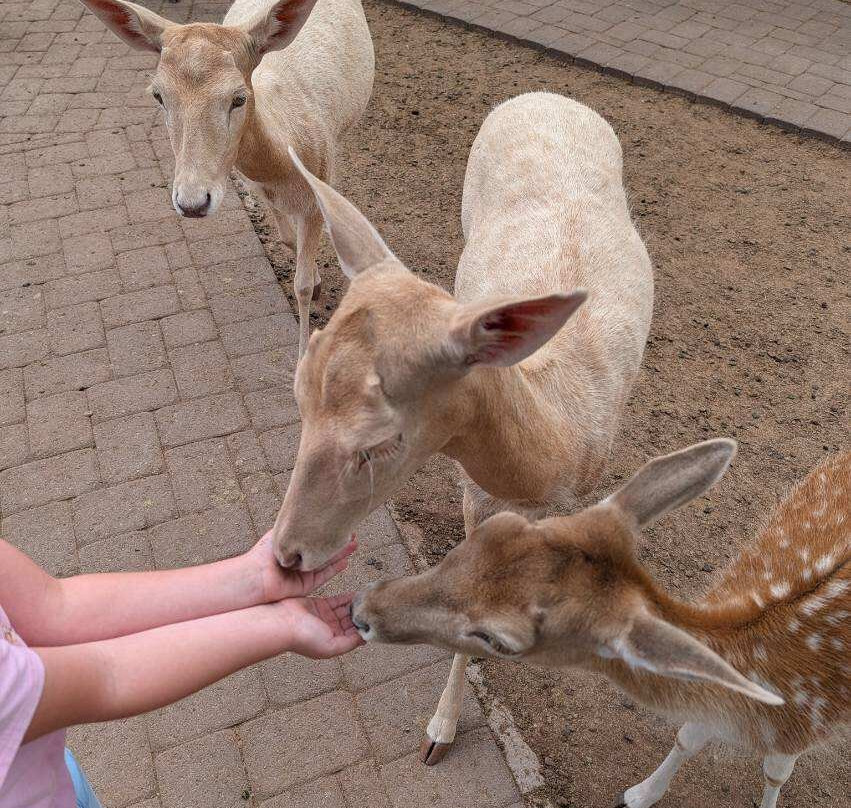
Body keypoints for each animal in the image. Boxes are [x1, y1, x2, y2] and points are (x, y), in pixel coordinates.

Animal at [77, 0, 374, 356]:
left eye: (238, 97)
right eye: (158, 95)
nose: (192, 202)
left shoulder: (320, 185)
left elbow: (300, 285)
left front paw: (304, 354)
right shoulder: (255, 186)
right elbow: (287, 238)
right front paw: (316, 280)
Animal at [273, 91, 654, 763]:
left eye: (380, 442)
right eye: (299, 392)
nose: (287, 553)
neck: (553, 445)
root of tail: (549, 96)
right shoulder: (474, 496)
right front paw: (439, 731)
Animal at [352, 440, 851, 808]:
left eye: (499, 638)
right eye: (498, 531)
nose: (361, 610)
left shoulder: (807, 727)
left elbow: (775, 772)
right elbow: (688, 737)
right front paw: (638, 795)